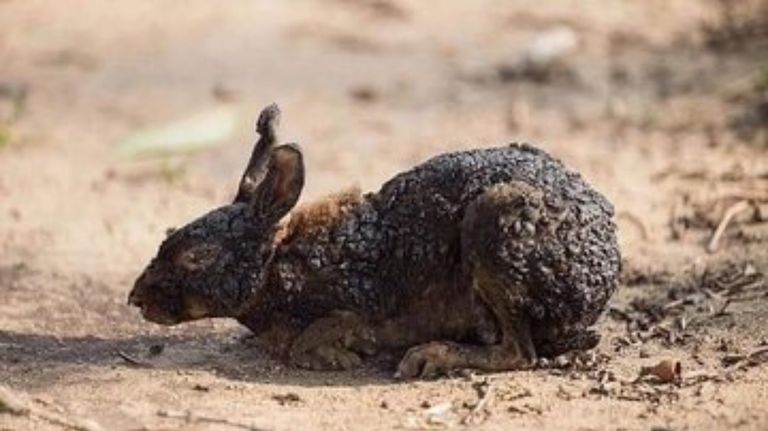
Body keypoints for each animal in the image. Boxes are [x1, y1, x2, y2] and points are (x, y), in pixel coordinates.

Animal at [128, 103, 621, 378]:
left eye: (196, 257)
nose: (136, 299)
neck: (277, 263)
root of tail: (602, 278)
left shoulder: (358, 304)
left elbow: (317, 335)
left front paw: (335, 357)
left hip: (495, 224)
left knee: (520, 353)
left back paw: (432, 357)